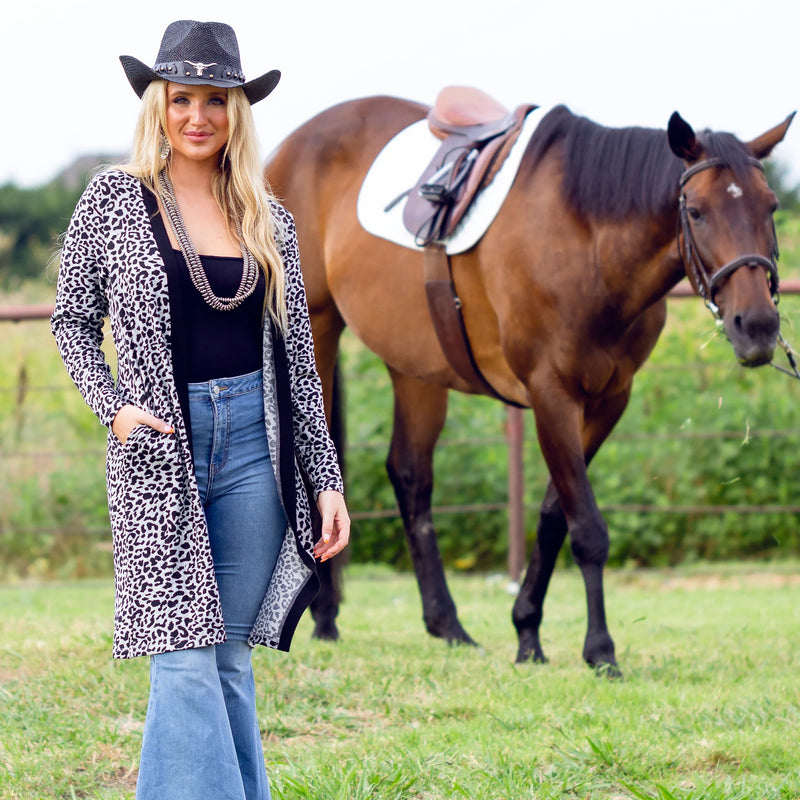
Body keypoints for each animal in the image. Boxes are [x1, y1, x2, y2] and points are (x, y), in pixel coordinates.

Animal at [268, 92, 792, 668]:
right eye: (696, 212)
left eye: (770, 207)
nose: (758, 326)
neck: (588, 243)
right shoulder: (551, 395)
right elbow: (587, 528)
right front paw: (600, 649)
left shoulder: (608, 401)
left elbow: (554, 516)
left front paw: (527, 632)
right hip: (316, 330)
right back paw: (327, 619)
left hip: (415, 365)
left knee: (410, 475)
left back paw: (447, 625)